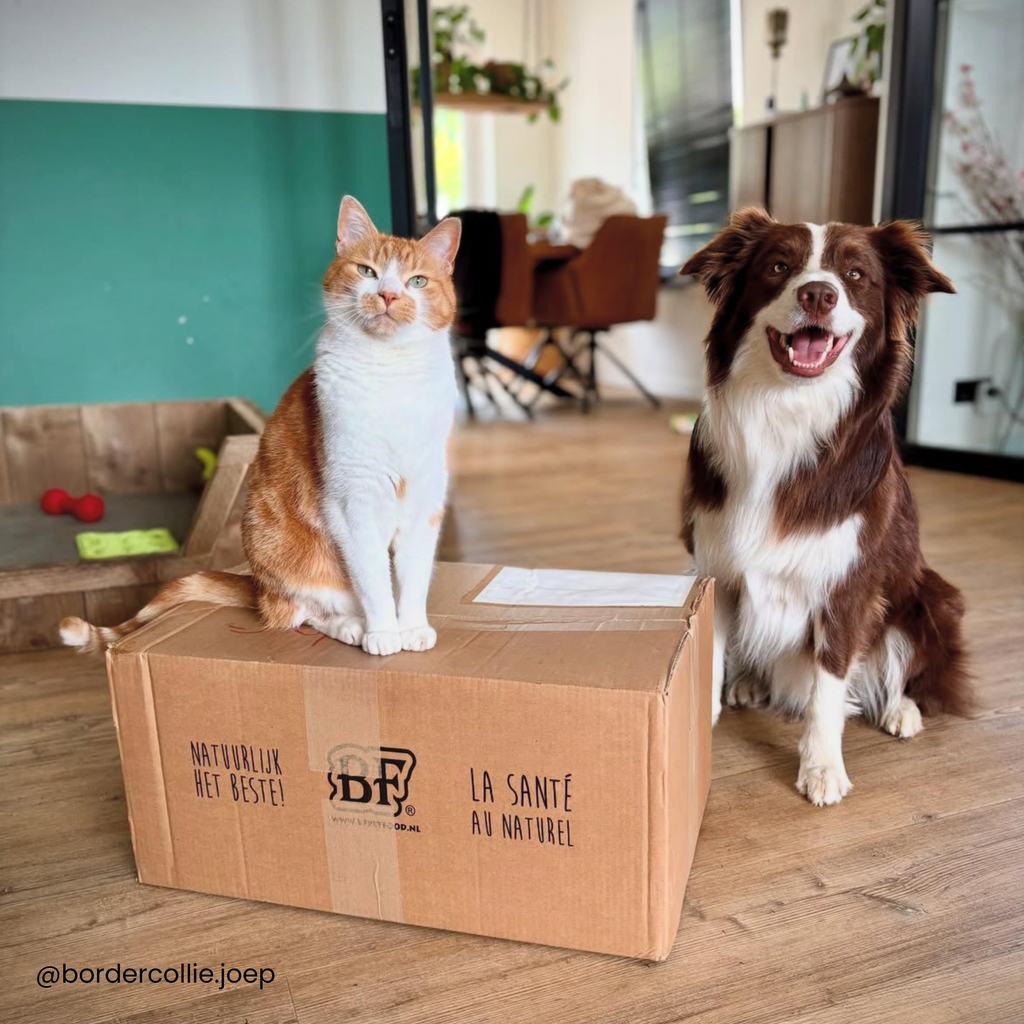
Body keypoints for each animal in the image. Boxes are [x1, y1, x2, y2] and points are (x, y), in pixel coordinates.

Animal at [61, 196, 462, 657]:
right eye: (367, 272)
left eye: (417, 281)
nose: (389, 294)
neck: (390, 373)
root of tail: (256, 585)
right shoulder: (352, 499)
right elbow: (373, 579)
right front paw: (383, 632)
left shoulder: (424, 497)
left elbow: (413, 575)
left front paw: (411, 627)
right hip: (294, 559)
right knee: (298, 611)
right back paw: (352, 626)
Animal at [679, 208, 973, 806]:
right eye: (777, 266)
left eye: (856, 275)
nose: (818, 294)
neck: (786, 409)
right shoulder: (717, 567)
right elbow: (713, 656)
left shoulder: (847, 586)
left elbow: (827, 688)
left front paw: (821, 768)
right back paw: (750, 682)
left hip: (930, 597)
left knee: (906, 670)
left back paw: (901, 710)